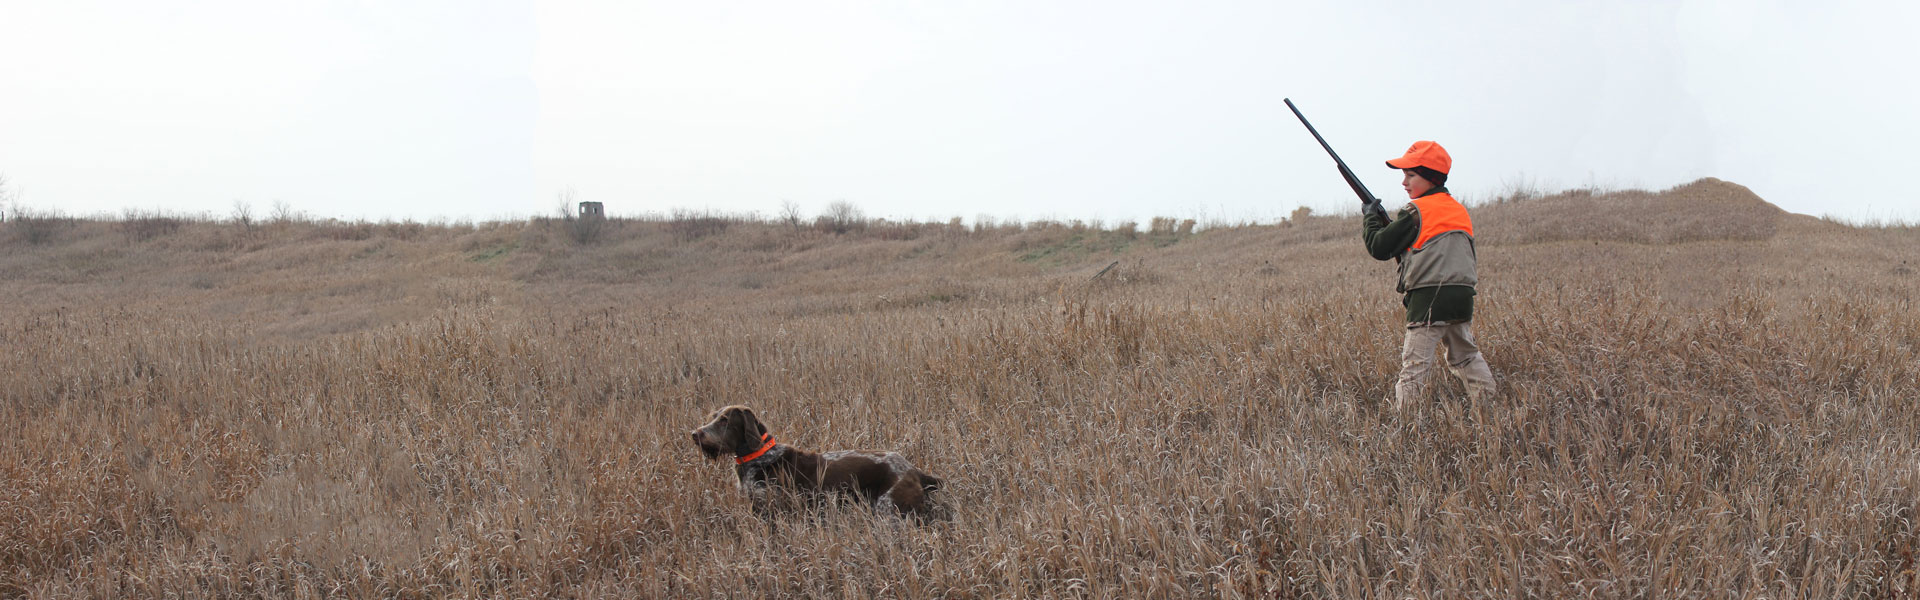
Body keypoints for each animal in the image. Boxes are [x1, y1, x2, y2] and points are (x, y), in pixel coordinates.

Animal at [698, 407, 952, 519]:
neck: (759, 458)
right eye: (712, 417)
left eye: (724, 420)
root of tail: (913, 470)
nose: (695, 433)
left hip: (889, 511)